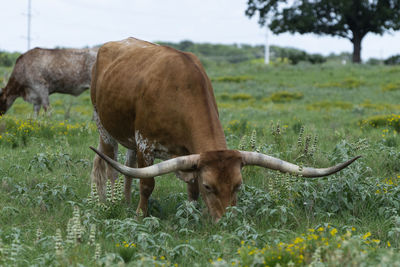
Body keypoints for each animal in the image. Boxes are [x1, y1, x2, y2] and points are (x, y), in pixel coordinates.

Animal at [90, 37, 360, 222]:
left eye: (238, 185)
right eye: (210, 186)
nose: (227, 222)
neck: (179, 90)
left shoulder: (187, 154)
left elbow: (190, 188)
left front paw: (192, 214)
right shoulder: (146, 144)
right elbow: (147, 184)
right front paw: (140, 215)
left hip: (128, 139)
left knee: (127, 166)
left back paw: (124, 201)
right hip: (104, 128)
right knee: (106, 165)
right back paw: (106, 201)